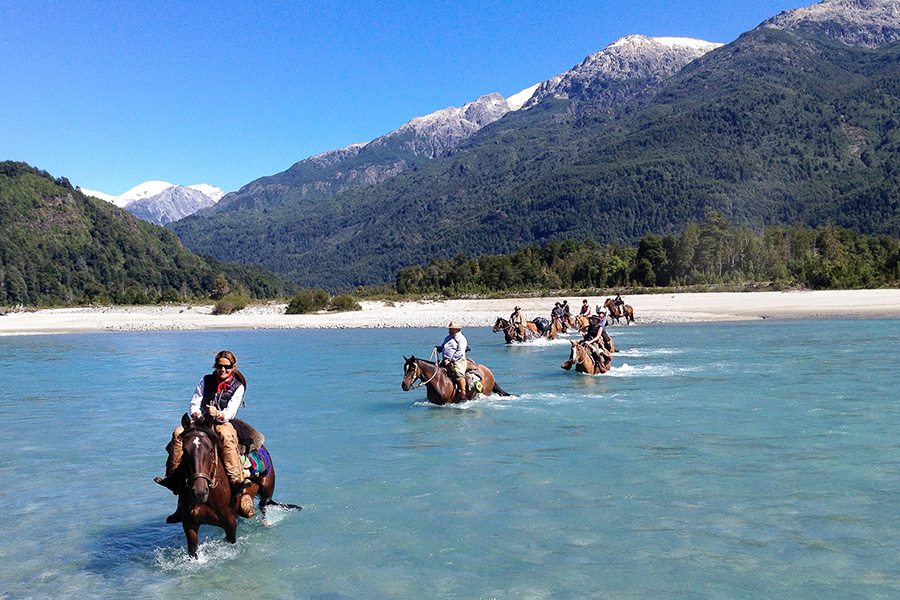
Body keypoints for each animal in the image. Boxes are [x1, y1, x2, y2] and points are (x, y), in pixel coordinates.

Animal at [174, 418, 300, 556]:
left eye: (211, 450)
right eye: (185, 452)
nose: (199, 492)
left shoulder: (229, 523)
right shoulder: (189, 525)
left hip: (266, 491)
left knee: (263, 507)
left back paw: (266, 523)